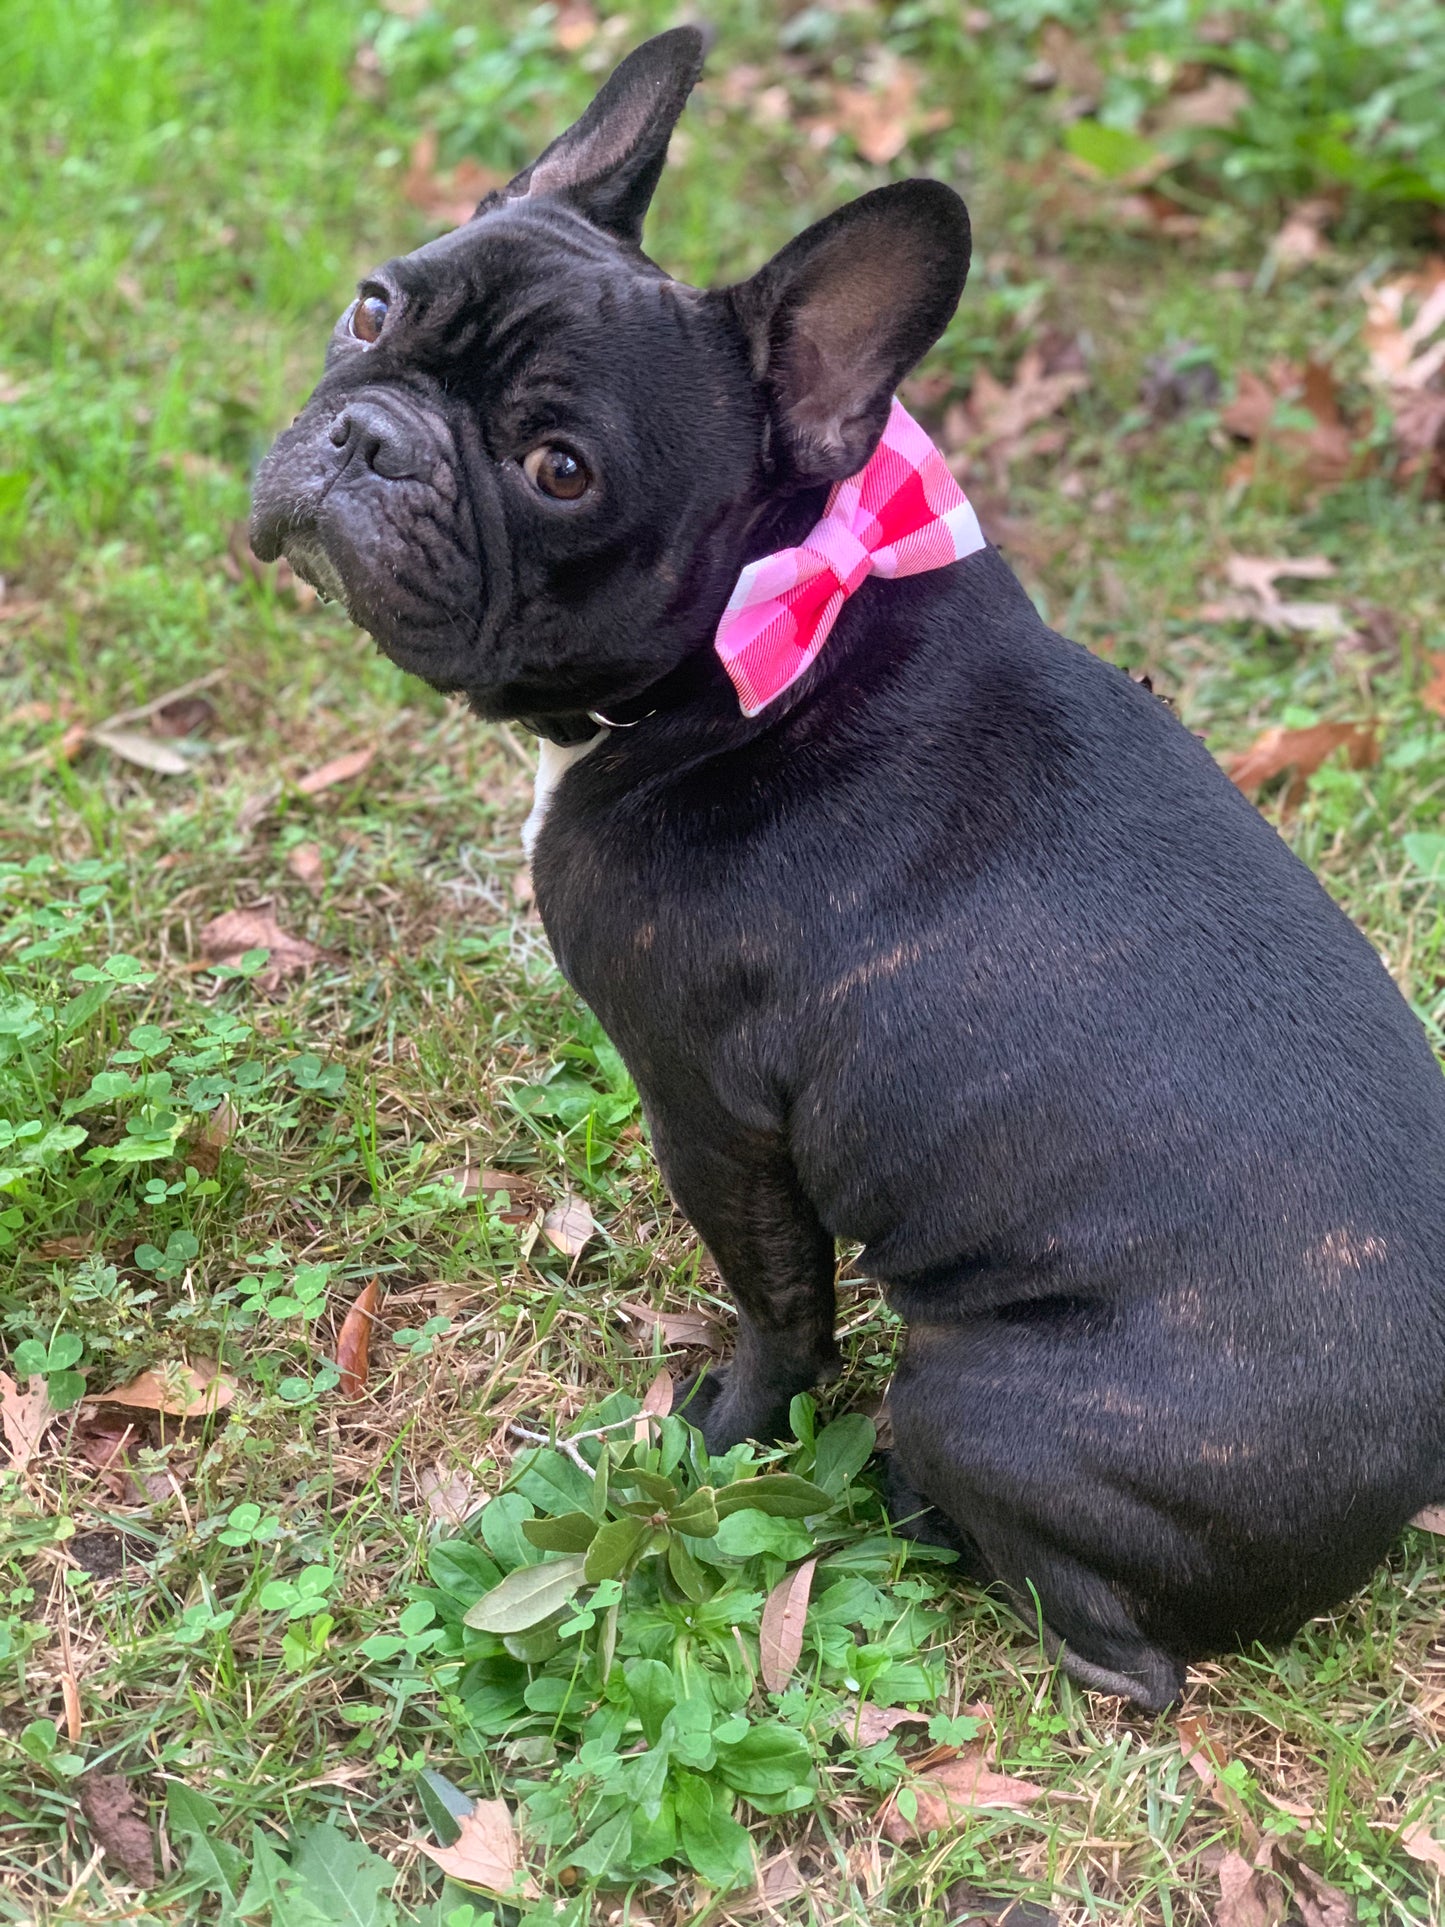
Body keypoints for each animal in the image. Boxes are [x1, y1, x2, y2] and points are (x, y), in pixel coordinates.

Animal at [254, 30, 1445, 1711]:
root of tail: (1390, 1503)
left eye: (560, 469)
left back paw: (898, 1500)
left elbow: (781, 1307)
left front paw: (718, 1432)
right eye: (373, 308)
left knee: (1115, 1648)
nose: (372, 436)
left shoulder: (710, 1113)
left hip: (985, 1402)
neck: (759, 638)